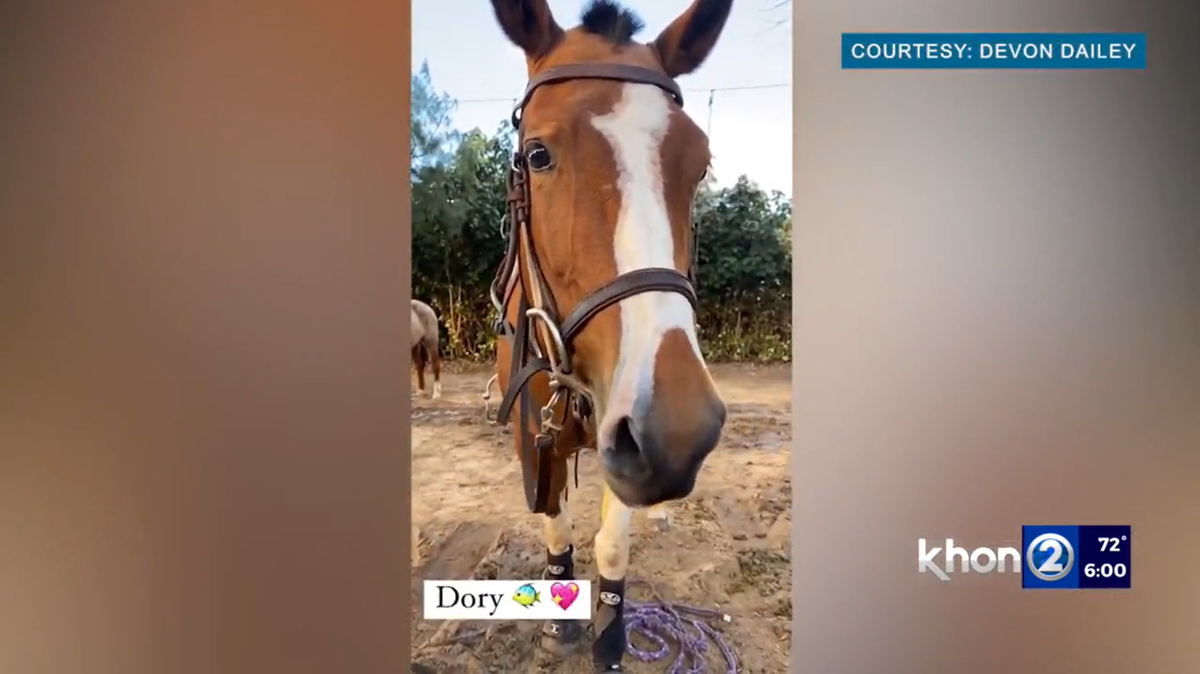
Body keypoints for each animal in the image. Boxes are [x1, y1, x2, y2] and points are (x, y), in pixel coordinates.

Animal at [483, 0, 732, 669]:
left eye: (701, 164)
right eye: (537, 155)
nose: (679, 430)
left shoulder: (625, 438)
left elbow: (613, 541)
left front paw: (611, 637)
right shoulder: (535, 438)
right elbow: (555, 521)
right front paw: (558, 621)